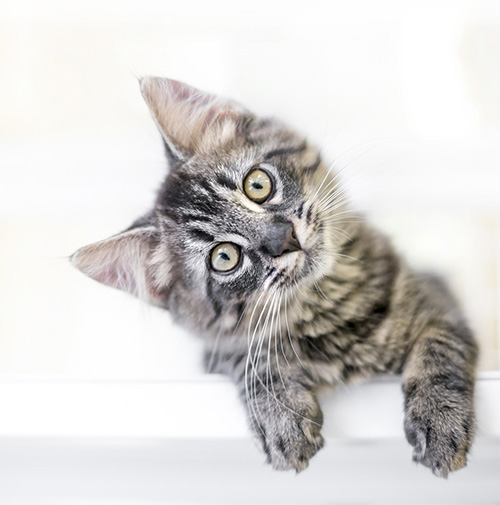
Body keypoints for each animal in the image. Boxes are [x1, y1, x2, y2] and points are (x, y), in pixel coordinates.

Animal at [72, 78, 478, 476]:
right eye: (224, 257)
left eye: (257, 185)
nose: (284, 239)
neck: (326, 306)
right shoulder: (218, 353)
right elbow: (252, 361)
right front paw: (282, 416)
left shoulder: (440, 305)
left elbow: (438, 351)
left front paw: (440, 420)